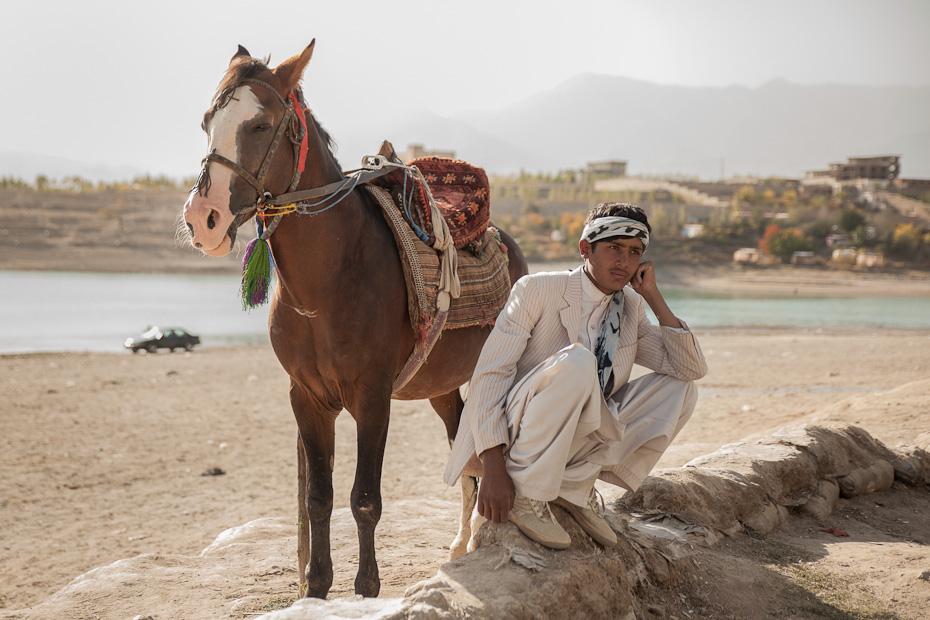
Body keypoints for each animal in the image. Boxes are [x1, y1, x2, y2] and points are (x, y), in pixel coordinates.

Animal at [183, 41, 528, 600]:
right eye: (207, 121)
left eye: (259, 125)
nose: (202, 218)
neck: (328, 282)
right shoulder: (306, 398)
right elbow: (318, 498)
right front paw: (316, 584)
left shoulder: (372, 397)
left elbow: (364, 498)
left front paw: (366, 585)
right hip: (441, 384)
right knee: (464, 446)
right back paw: (461, 543)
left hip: (494, 372)